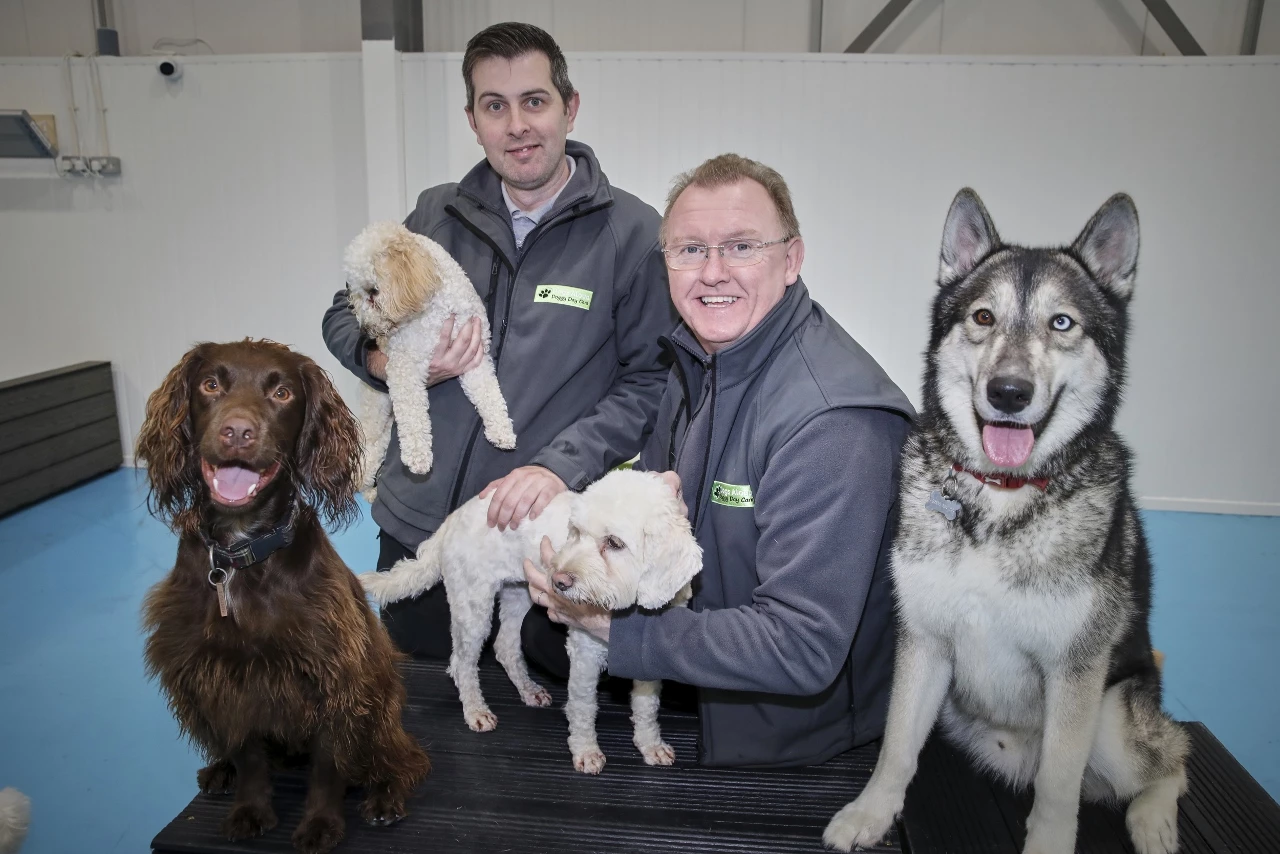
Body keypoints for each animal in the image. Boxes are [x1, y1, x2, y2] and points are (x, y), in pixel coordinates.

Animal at [345, 224, 519, 496]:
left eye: (373, 292)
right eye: (356, 294)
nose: (365, 332)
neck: (437, 308)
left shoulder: (475, 358)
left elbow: (489, 394)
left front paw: (501, 430)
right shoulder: (404, 368)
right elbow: (414, 418)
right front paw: (418, 457)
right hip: (376, 410)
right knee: (366, 455)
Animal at [358, 468, 701, 773]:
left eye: (615, 543)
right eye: (576, 532)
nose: (559, 581)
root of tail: (455, 517)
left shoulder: (646, 655)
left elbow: (646, 706)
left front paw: (650, 745)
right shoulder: (585, 651)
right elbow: (583, 705)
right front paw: (586, 751)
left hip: (517, 594)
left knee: (505, 647)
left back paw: (527, 690)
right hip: (473, 604)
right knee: (462, 662)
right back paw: (476, 711)